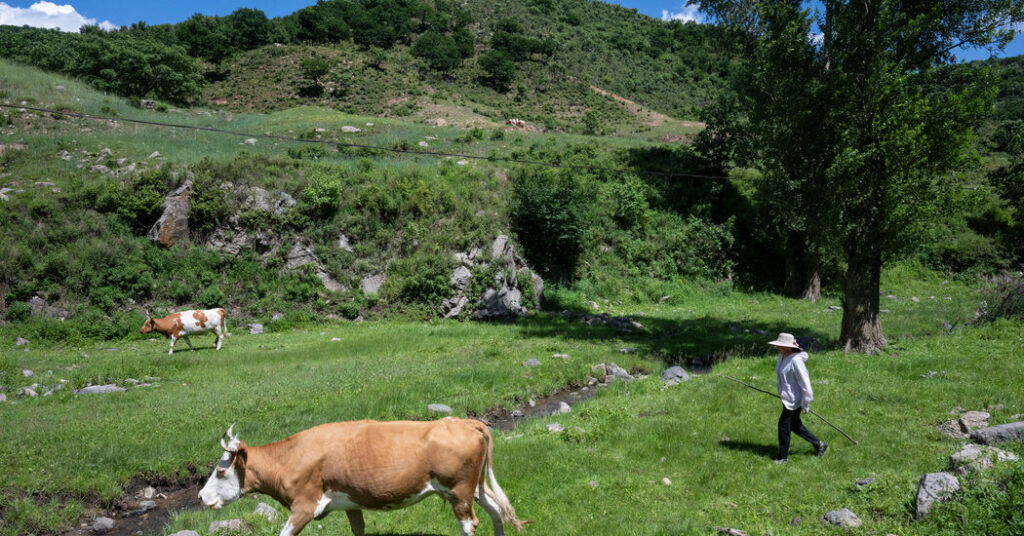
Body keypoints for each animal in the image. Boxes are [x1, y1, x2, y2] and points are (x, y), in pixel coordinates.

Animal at [199, 420, 526, 536]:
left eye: (221, 471)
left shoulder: (304, 505)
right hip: (473, 488)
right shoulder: (350, 502)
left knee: (469, 524)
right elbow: (358, 530)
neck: (290, 457)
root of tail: (465, 421)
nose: (200, 496)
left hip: (458, 490)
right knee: (496, 511)